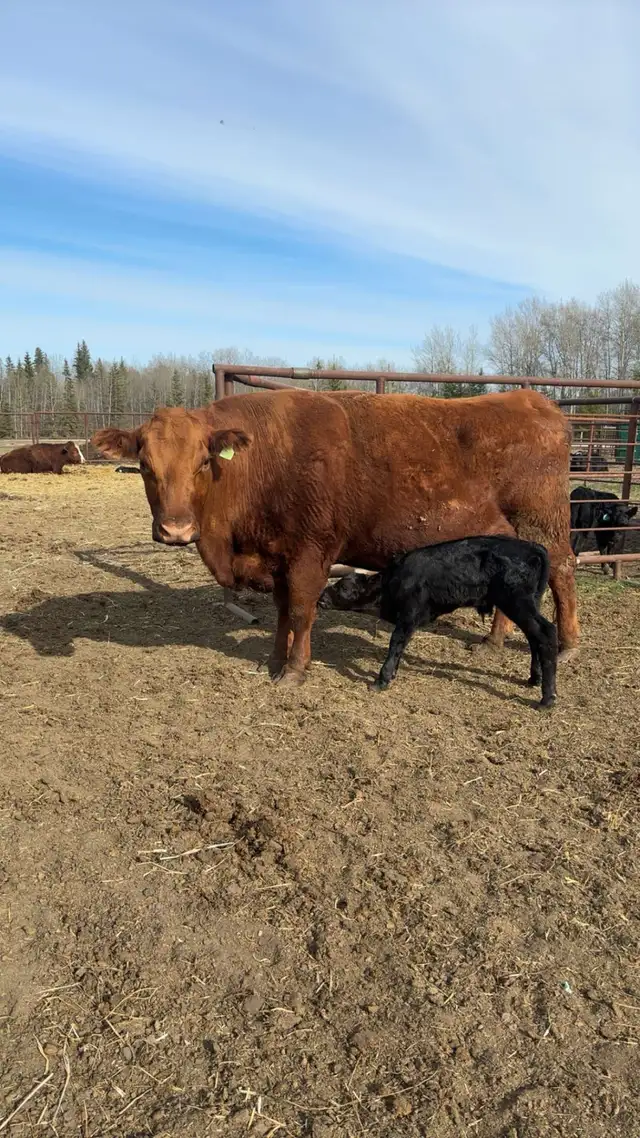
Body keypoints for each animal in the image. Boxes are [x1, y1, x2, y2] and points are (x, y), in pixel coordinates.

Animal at [91, 387, 578, 685]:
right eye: (145, 466)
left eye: (203, 462)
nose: (175, 530)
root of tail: (533, 400)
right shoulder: (278, 557)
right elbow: (282, 612)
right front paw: (274, 659)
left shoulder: (310, 553)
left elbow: (302, 610)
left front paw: (294, 671)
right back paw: (493, 641)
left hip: (544, 523)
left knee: (565, 572)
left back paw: (568, 644)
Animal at [318, 536, 558, 708]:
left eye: (344, 587)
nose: (321, 597)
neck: (395, 580)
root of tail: (533, 547)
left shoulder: (408, 617)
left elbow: (395, 644)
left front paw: (382, 679)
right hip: (528, 604)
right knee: (534, 638)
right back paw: (534, 679)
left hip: (517, 603)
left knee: (546, 632)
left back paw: (547, 698)